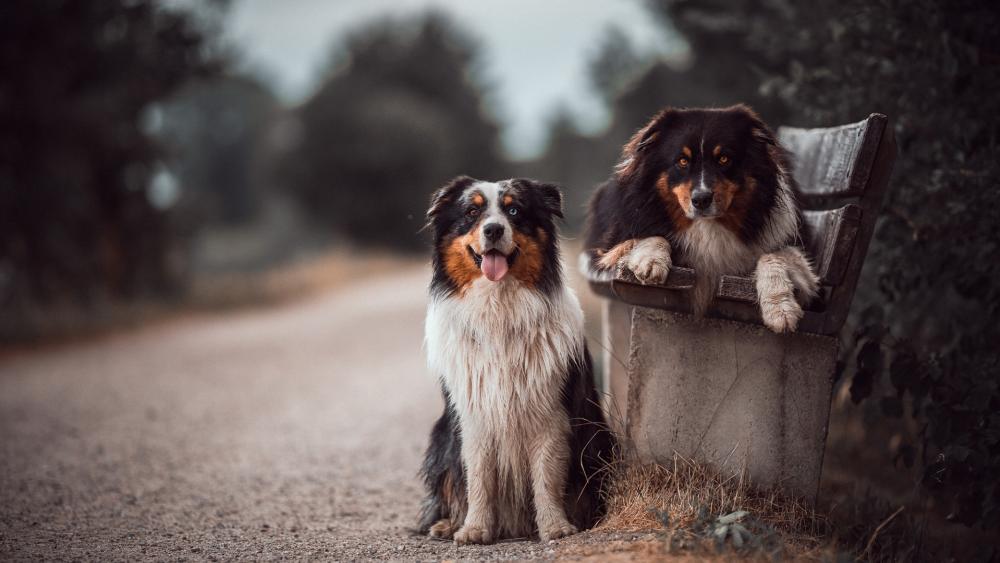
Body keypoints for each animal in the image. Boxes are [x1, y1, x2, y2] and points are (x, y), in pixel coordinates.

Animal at [420, 177, 612, 548]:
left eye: (514, 211)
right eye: (471, 212)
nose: (493, 230)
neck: (499, 308)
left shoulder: (551, 414)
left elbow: (547, 477)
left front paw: (555, 527)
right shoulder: (473, 416)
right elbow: (477, 478)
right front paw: (475, 529)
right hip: (440, 436)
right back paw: (446, 524)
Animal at [584, 104, 820, 334]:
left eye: (724, 159)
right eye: (682, 161)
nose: (701, 199)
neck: (708, 225)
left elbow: (774, 255)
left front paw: (781, 310)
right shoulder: (609, 246)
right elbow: (649, 236)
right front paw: (650, 260)